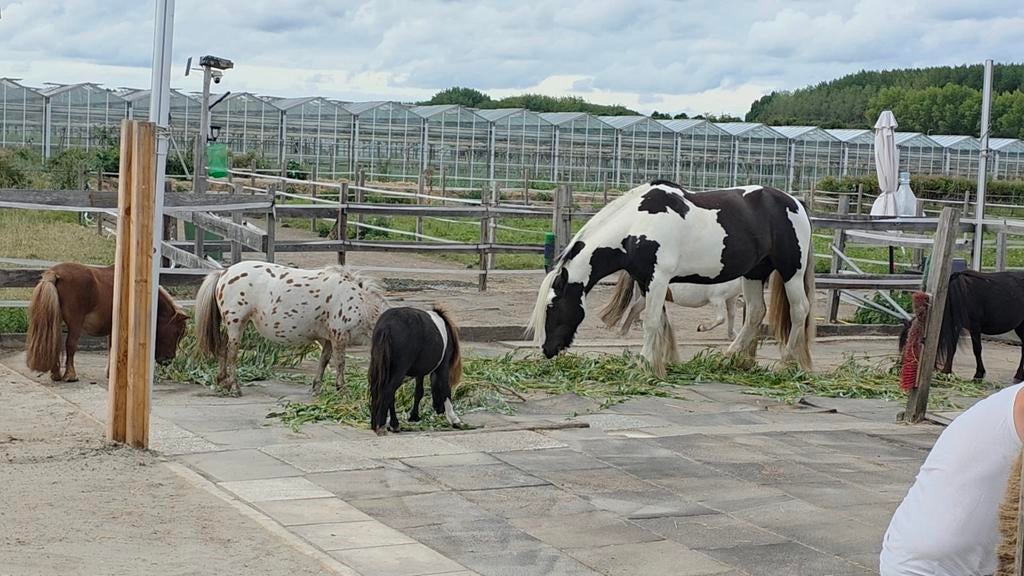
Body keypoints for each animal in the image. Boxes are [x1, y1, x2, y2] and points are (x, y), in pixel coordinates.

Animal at [25, 262, 188, 382]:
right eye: (177, 332)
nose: (168, 360)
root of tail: (54, 274)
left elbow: (111, 348)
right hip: (75, 323)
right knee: (70, 345)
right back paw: (70, 375)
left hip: (55, 321)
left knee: (55, 342)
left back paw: (56, 374)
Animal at [195, 261, 386, 397]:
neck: (360, 301)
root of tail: (224, 273)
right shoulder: (339, 336)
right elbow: (340, 363)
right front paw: (342, 390)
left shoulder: (328, 339)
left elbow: (323, 361)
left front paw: (316, 388)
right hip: (236, 324)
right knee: (232, 354)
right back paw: (234, 387)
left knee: (222, 349)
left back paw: (222, 381)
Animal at [368, 306, 464, 435]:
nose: (440, 410)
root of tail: (387, 326)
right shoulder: (443, 366)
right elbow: (445, 389)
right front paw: (454, 419)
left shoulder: (420, 372)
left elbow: (419, 392)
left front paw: (414, 416)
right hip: (398, 372)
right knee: (388, 391)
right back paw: (383, 426)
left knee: (384, 392)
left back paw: (387, 425)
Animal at [601, 271, 742, 339]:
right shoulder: (716, 299)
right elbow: (721, 319)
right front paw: (701, 327)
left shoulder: (731, 298)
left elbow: (732, 315)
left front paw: (732, 336)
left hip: (646, 297)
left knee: (635, 308)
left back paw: (622, 333)